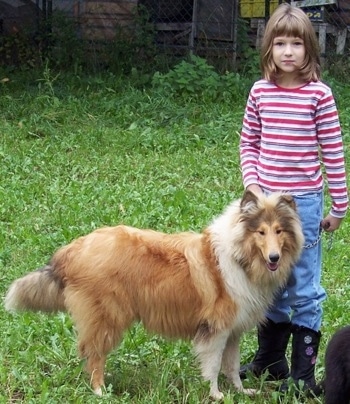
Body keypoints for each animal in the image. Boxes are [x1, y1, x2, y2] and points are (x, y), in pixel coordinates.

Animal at [4, 191, 302, 400]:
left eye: (279, 231)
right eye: (260, 232)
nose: (274, 258)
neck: (240, 258)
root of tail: (73, 249)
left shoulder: (233, 331)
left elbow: (231, 365)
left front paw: (240, 392)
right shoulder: (215, 329)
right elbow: (214, 365)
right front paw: (216, 394)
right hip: (107, 318)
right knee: (94, 355)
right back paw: (100, 391)